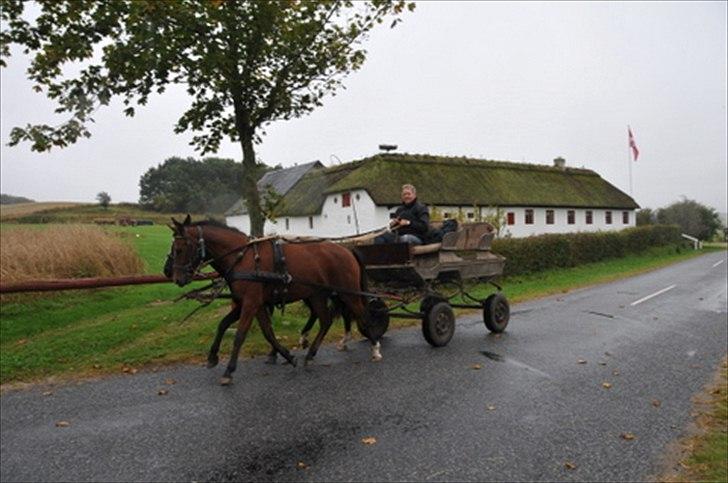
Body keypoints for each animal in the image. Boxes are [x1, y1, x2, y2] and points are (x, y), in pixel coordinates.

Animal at [167, 216, 378, 386]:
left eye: (180, 249)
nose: (177, 278)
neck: (244, 258)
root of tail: (346, 250)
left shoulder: (251, 303)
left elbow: (240, 335)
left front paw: (229, 371)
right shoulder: (251, 303)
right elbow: (254, 330)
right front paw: (287, 356)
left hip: (348, 293)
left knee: (363, 316)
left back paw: (375, 347)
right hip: (317, 295)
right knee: (326, 320)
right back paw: (310, 354)